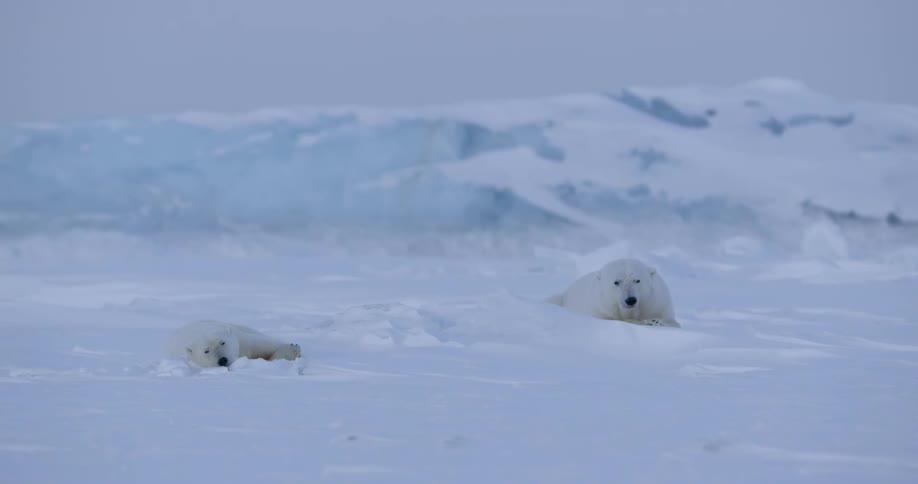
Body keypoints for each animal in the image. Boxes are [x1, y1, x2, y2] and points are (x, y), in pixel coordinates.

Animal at [167, 320, 302, 368]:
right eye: (206, 351)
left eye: (223, 342)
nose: (222, 360)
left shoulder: (242, 342)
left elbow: (266, 345)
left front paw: (292, 350)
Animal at [546, 258, 680, 327]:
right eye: (616, 282)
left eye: (637, 280)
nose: (630, 300)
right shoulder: (601, 311)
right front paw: (646, 322)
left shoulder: (658, 302)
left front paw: (656, 321)